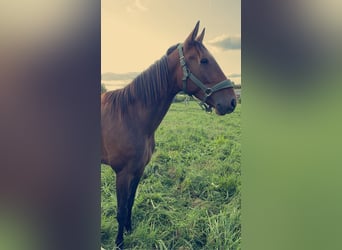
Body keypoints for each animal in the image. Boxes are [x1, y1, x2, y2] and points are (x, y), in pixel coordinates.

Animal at [100, 21, 236, 248]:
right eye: (204, 60)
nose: (232, 101)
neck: (129, 115)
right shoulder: (122, 174)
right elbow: (120, 210)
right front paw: (119, 243)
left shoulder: (138, 170)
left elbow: (130, 204)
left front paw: (129, 230)